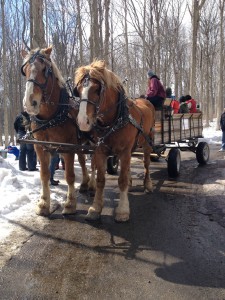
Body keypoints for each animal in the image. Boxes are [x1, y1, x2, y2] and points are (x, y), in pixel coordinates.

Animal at [20, 46, 92, 216]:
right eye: (24, 70)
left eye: (45, 69)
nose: (30, 103)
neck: (51, 117)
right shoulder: (40, 146)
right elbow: (44, 174)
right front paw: (44, 204)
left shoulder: (67, 147)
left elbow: (70, 175)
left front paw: (70, 204)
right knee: (82, 160)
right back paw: (85, 183)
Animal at [74, 60, 156, 223]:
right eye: (78, 90)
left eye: (97, 89)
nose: (83, 122)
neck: (114, 121)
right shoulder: (100, 150)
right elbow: (100, 179)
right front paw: (95, 208)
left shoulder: (124, 151)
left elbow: (121, 180)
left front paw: (123, 210)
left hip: (147, 141)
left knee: (146, 164)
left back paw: (148, 184)